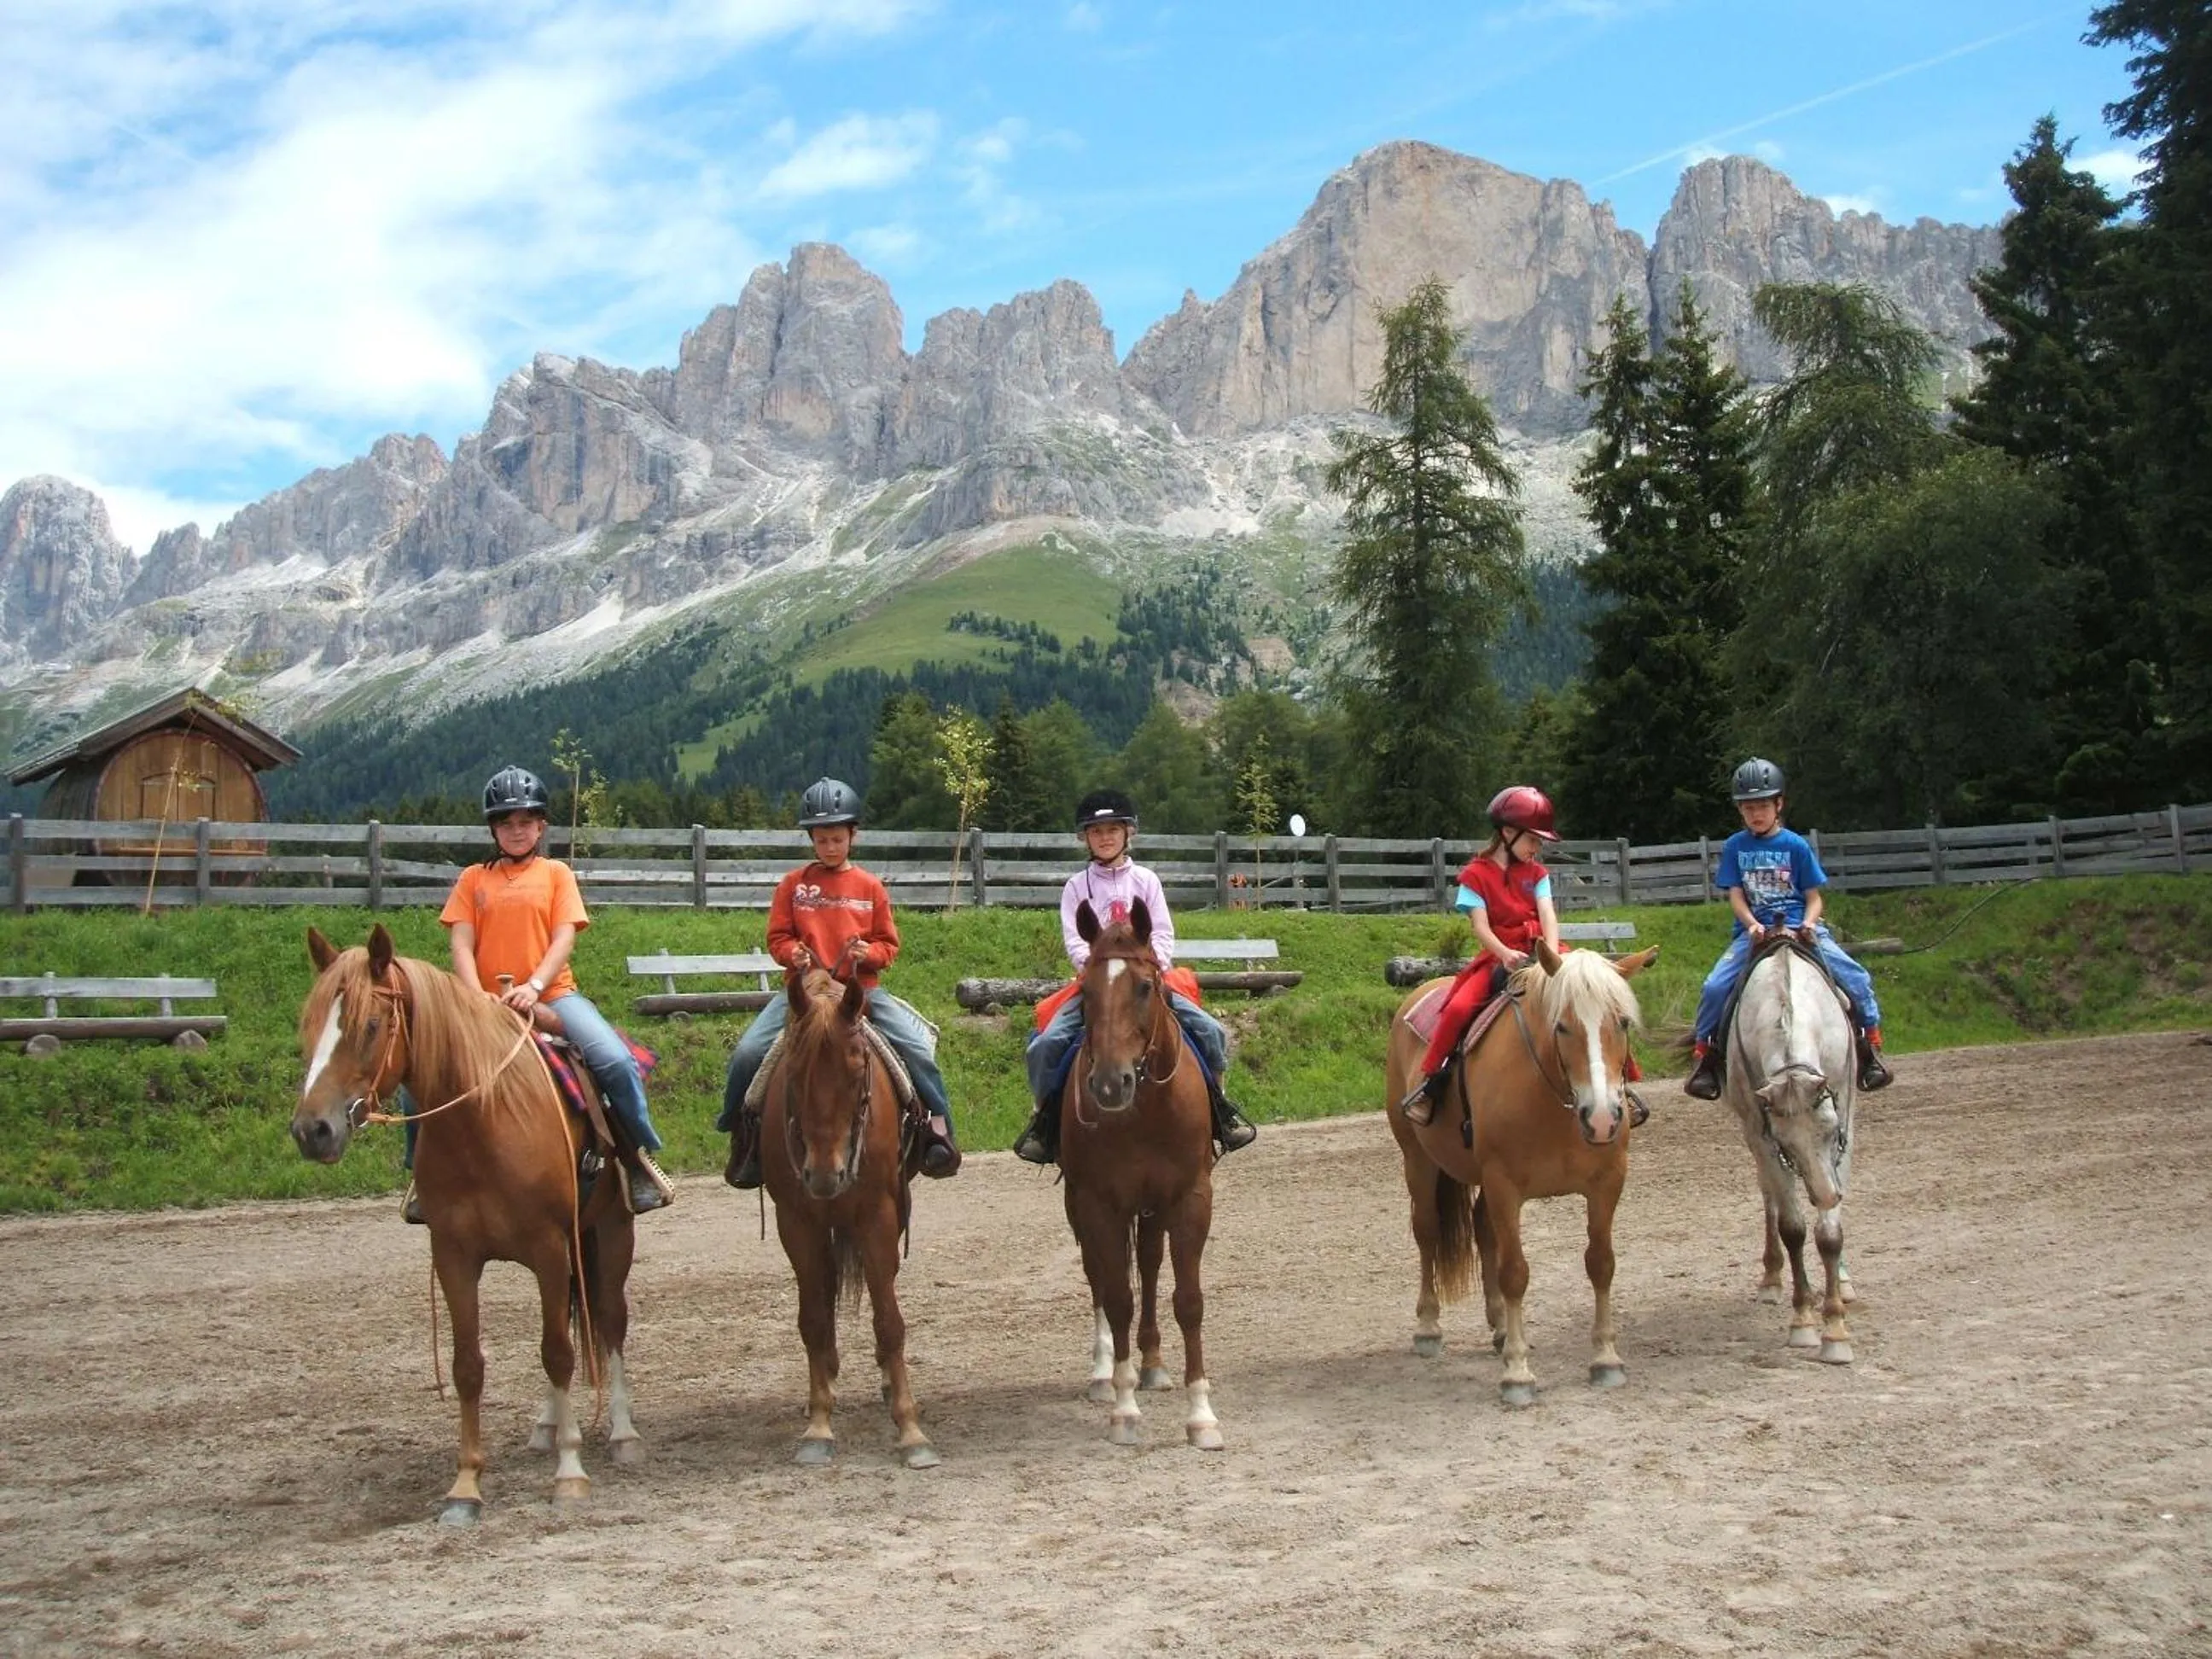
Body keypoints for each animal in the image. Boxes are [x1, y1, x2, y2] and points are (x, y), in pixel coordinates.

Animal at [290, 925, 641, 1526]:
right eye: (309, 1026)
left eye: (371, 1025)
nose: (313, 1131)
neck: (485, 1118)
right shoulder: (453, 1254)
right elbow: (468, 1366)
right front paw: (465, 1485)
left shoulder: (549, 1248)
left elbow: (558, 1352)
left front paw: (570, 1472)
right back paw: (547, 1425)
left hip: (611, 1232)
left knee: (608, 1322)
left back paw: (620, 1433)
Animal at [760, 964, 940, 1469]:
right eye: (794, 1072)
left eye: (858, 1070)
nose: (825, 1175)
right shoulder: (795, 1220)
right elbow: (813, 1320)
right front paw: (819, 1424)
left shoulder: (877, 1216)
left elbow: (889, 1322)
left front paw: (911, 1429)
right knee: (822, 1293)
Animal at [1058, 898, 1224, 1450]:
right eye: (1085, 991)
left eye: (1145, 987)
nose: (1111, 1084)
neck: (1146, 1110)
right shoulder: (1099, 1204)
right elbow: (1117, 1299)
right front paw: (1124, 1408)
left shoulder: (1190, 1197)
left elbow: (1188, 1300)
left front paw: (1202, 1416)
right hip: (1081, 1206)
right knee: (1098, 1278)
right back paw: (1104, 1374)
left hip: (1152, 1207)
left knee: (1150, 1267)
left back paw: (1152, 1364)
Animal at [1384, 940, 1659, 1407]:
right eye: (1562, 1026)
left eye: (1622, 1022)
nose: (1603, 1117)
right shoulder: (1504, 1185)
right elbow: (1514, 1273)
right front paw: (1518, 1373)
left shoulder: (1607, 1182)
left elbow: (1601, 1263)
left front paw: (1606, 1358)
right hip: (1418, 1161)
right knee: (1427, 1233)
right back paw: (1429, 1328)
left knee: (1481, 1228)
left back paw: (1498, 1328)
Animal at [1720, 936, 1858, 1364]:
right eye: (1786, 1141)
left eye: (1831, 1131)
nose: (1827, 1195)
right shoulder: (1762, 1134)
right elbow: (1793, 1228)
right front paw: (1805, 1322)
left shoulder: (1847, 1117)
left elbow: (1829, 1234)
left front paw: (1836, 1329)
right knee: (1770, 1195)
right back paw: (1771, 1278)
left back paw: (1843, 1280)